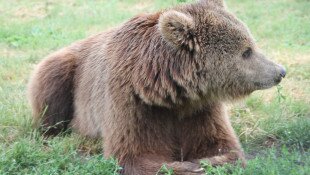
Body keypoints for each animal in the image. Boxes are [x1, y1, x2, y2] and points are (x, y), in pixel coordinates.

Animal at [27, 0, 286, 174]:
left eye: (251, 44)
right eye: (246, 52)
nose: (280, 71)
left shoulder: (200, 108)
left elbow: (222, 146)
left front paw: (205, 161)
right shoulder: (133, 104)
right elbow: (135, 155)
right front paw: (187, 165)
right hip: (66, 70)